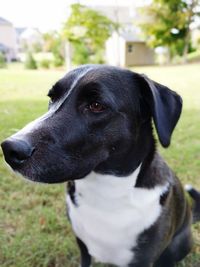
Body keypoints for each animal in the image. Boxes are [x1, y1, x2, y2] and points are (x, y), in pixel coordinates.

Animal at [1, 65, 200, 267]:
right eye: (52, 98)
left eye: (96, 106)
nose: (10, 148)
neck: (105, 192)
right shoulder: (82, 244)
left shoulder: (142, 259)